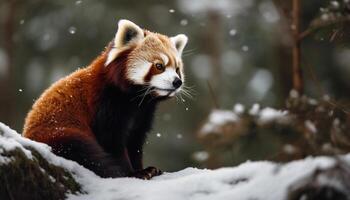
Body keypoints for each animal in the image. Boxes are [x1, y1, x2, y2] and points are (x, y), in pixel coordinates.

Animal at [22, 19, 187, 179]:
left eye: (177, 69)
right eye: (159, 66)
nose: (177, 82)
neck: (137, 100)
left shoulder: (143, 115)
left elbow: (134, 142)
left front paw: (143, 169)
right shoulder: (105, 103)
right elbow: (111, 141)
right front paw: (131, 173)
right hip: (58, 132)